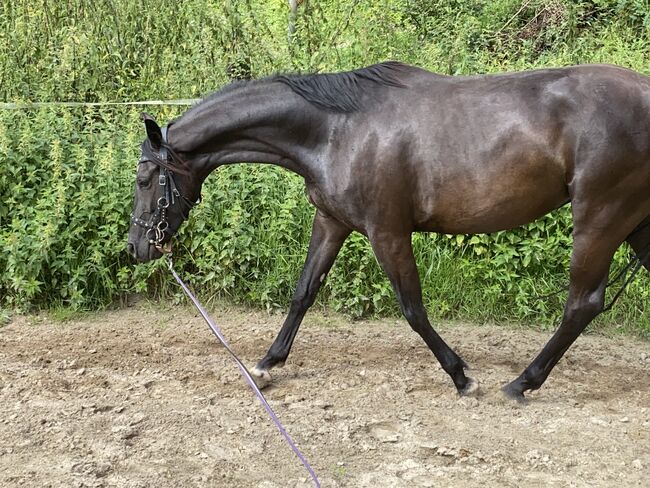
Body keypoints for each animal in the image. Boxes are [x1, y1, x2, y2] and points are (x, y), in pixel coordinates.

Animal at [128, 63, 648, 402]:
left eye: (145, 179)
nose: (138, 247)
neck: (335, 129)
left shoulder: (387, 231)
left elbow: (412, 308)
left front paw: (462, 378)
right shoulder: (332, 221)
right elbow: (303, 292)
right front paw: (267, 365)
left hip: (601, 217)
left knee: (582, 304)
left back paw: (522, 383)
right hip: (634, 222)